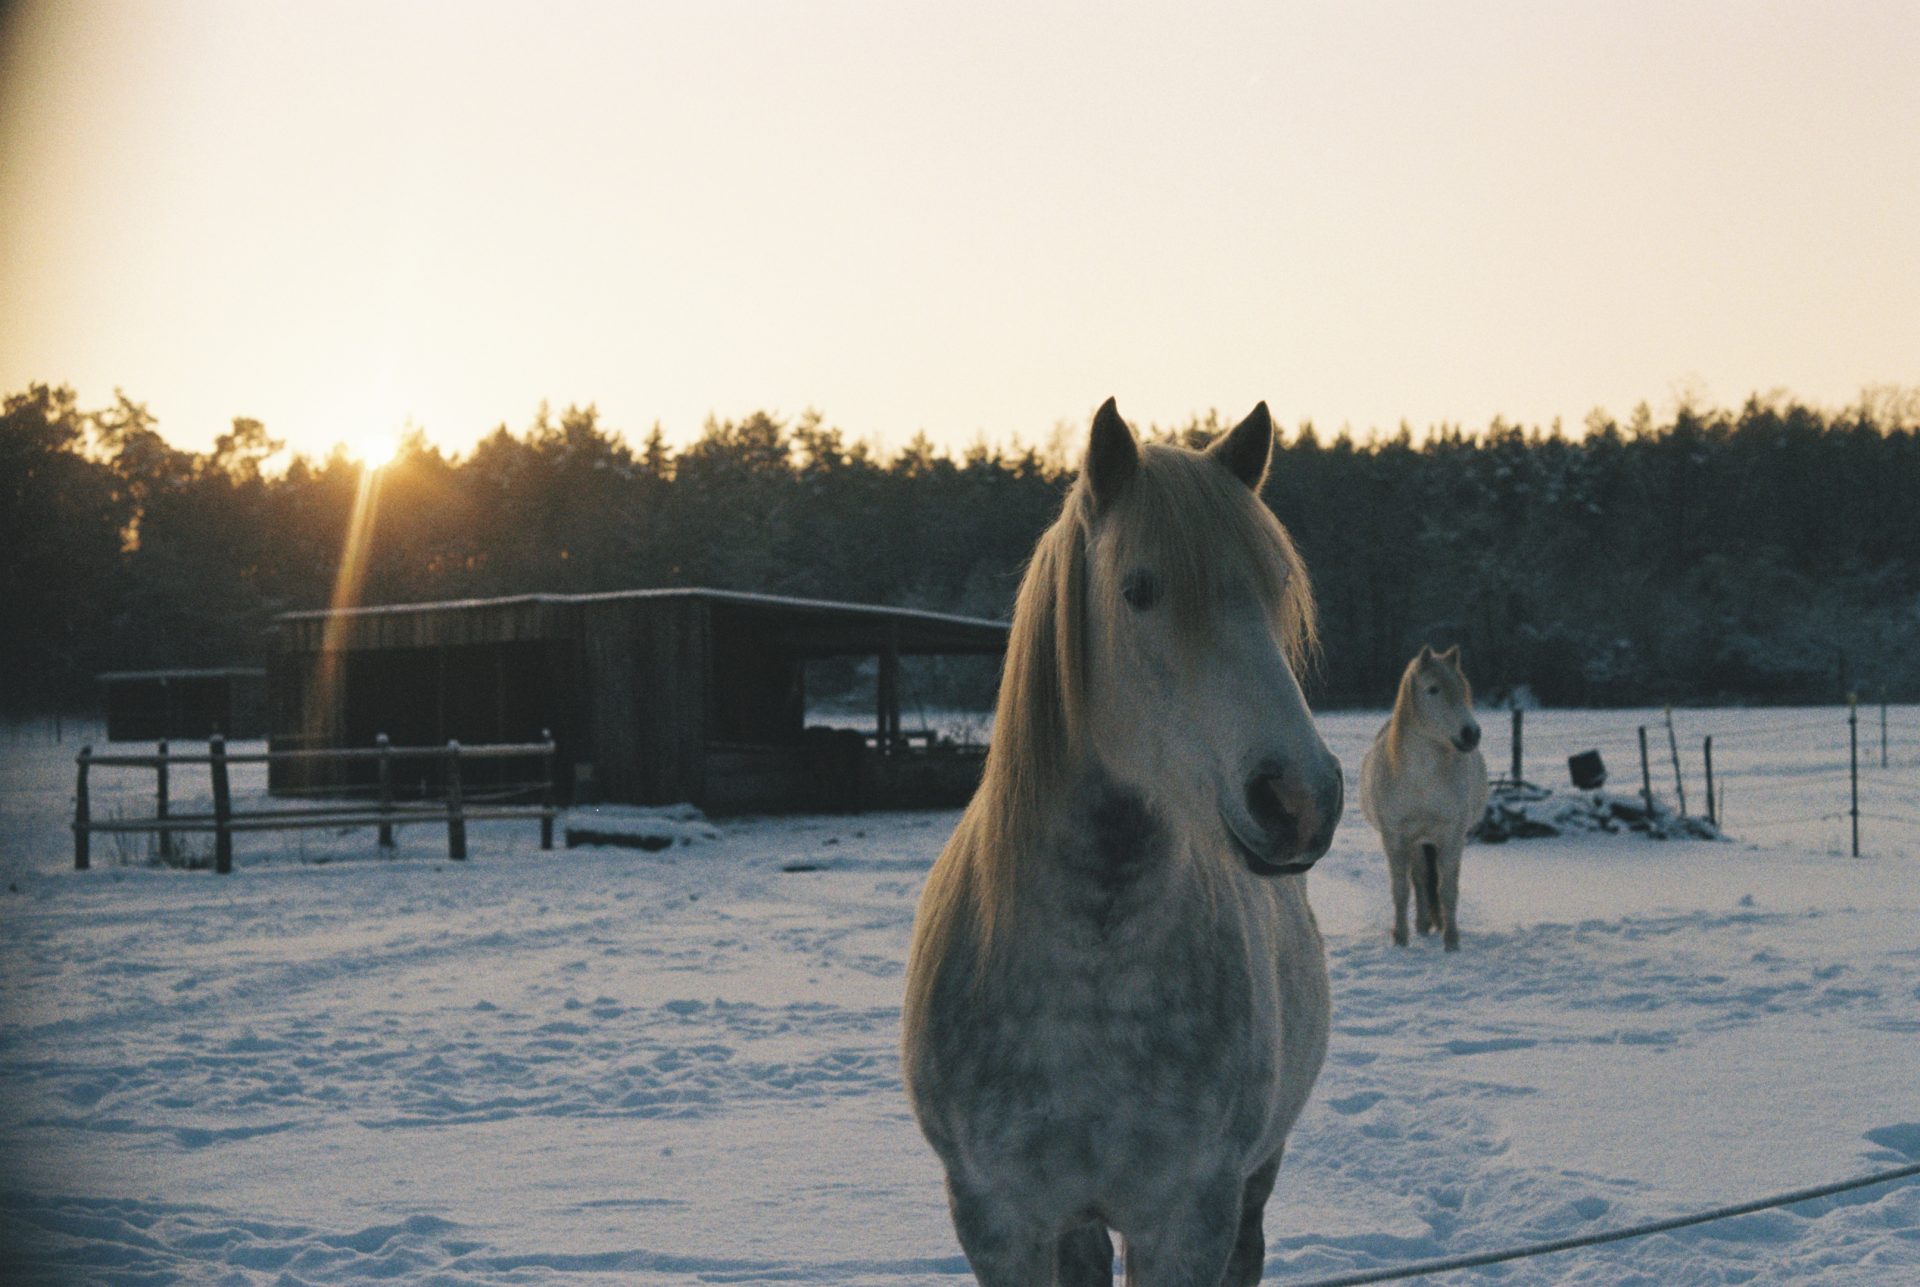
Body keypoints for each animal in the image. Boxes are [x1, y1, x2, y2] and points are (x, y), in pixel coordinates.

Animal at [902, 398, 1343, 1287]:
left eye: (1278, 584)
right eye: (1138, 590)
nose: (1300, 798)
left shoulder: (1188, 1217)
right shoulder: (999, 1220)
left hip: (1256, 1175)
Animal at [1357, 646, 1488, 951]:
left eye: (1463, 688)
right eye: (1433, 689)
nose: (1470, 734)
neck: (1422, 779)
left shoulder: (1452, 836)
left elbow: (1448, 889)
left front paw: (1451, 942)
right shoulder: (1394, 837)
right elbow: (1401, 889)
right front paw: (1401, 938)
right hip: (1415, 841)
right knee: (1418, 879)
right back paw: (1420, 925)